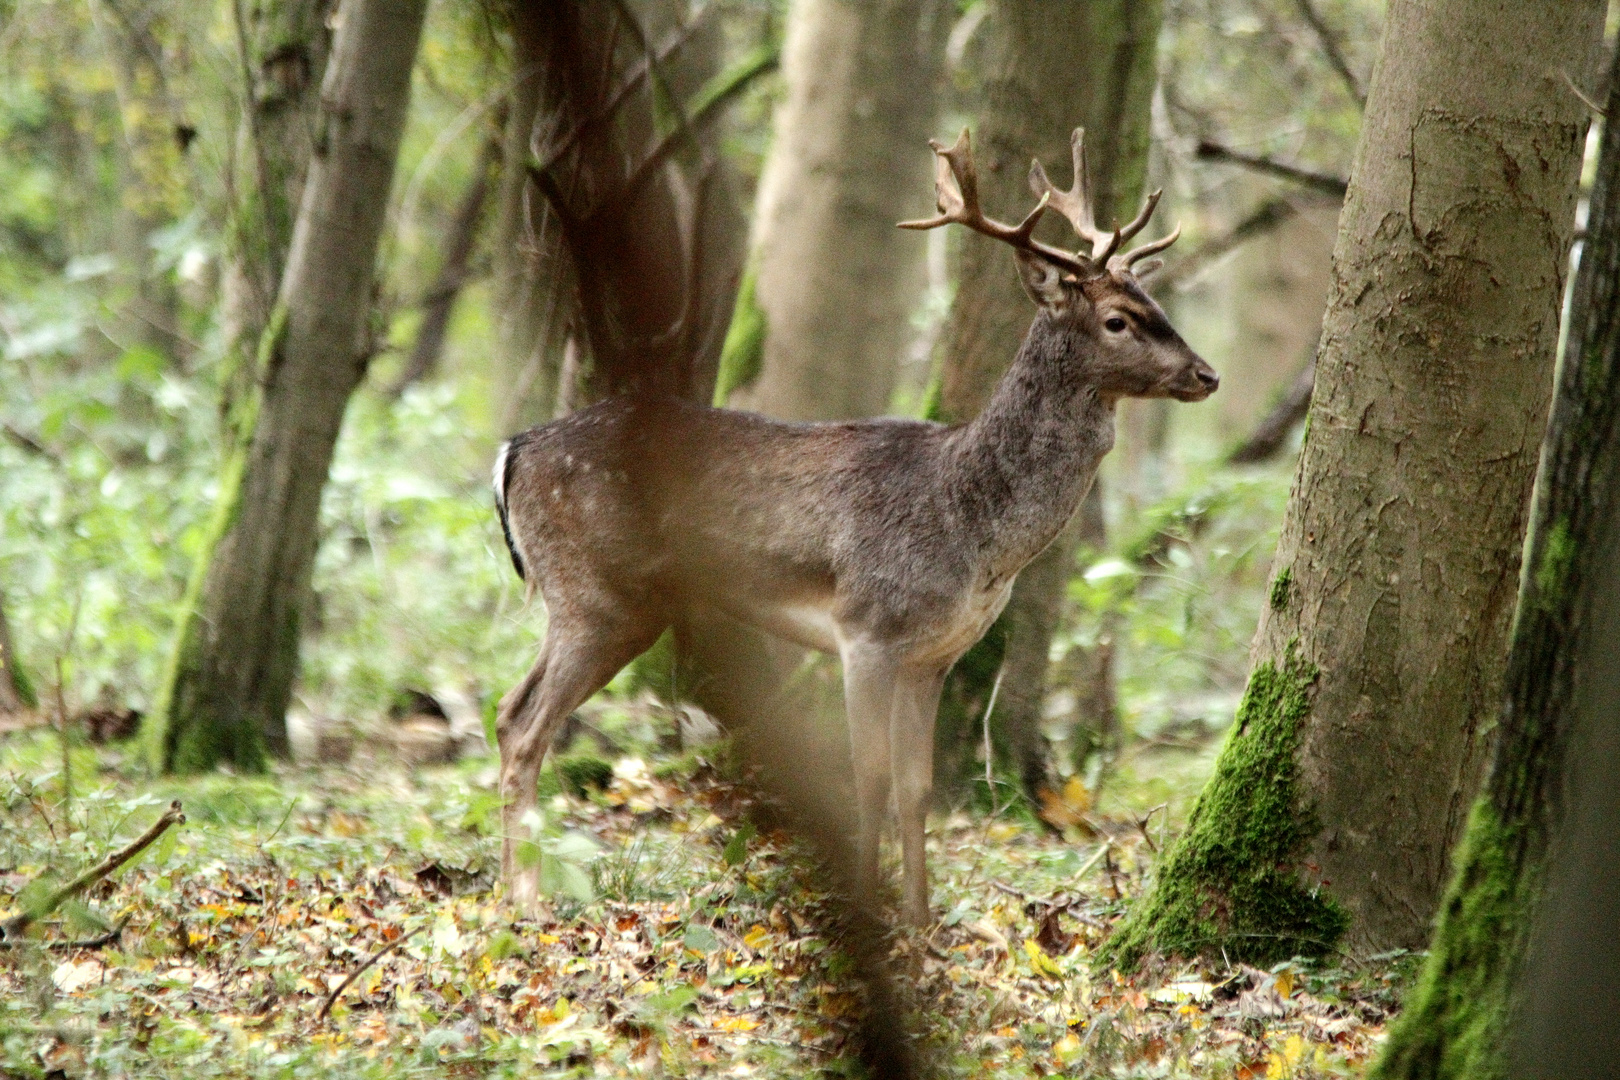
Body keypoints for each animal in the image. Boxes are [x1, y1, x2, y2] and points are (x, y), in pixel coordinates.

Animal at [492, 124, 1218, 919]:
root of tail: (514, 450)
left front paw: (922, 922)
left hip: (593, 599)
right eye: (1118, 319)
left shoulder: (934, 656)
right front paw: (871, 911)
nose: (1207, 374)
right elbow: (866, 780)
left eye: (1154, 299)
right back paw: (525, 904)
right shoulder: (867, 629)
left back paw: (510, 894)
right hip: (600, 594)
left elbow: (916, 789)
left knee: (506, 711)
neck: (973, 525)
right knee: (524, 725)